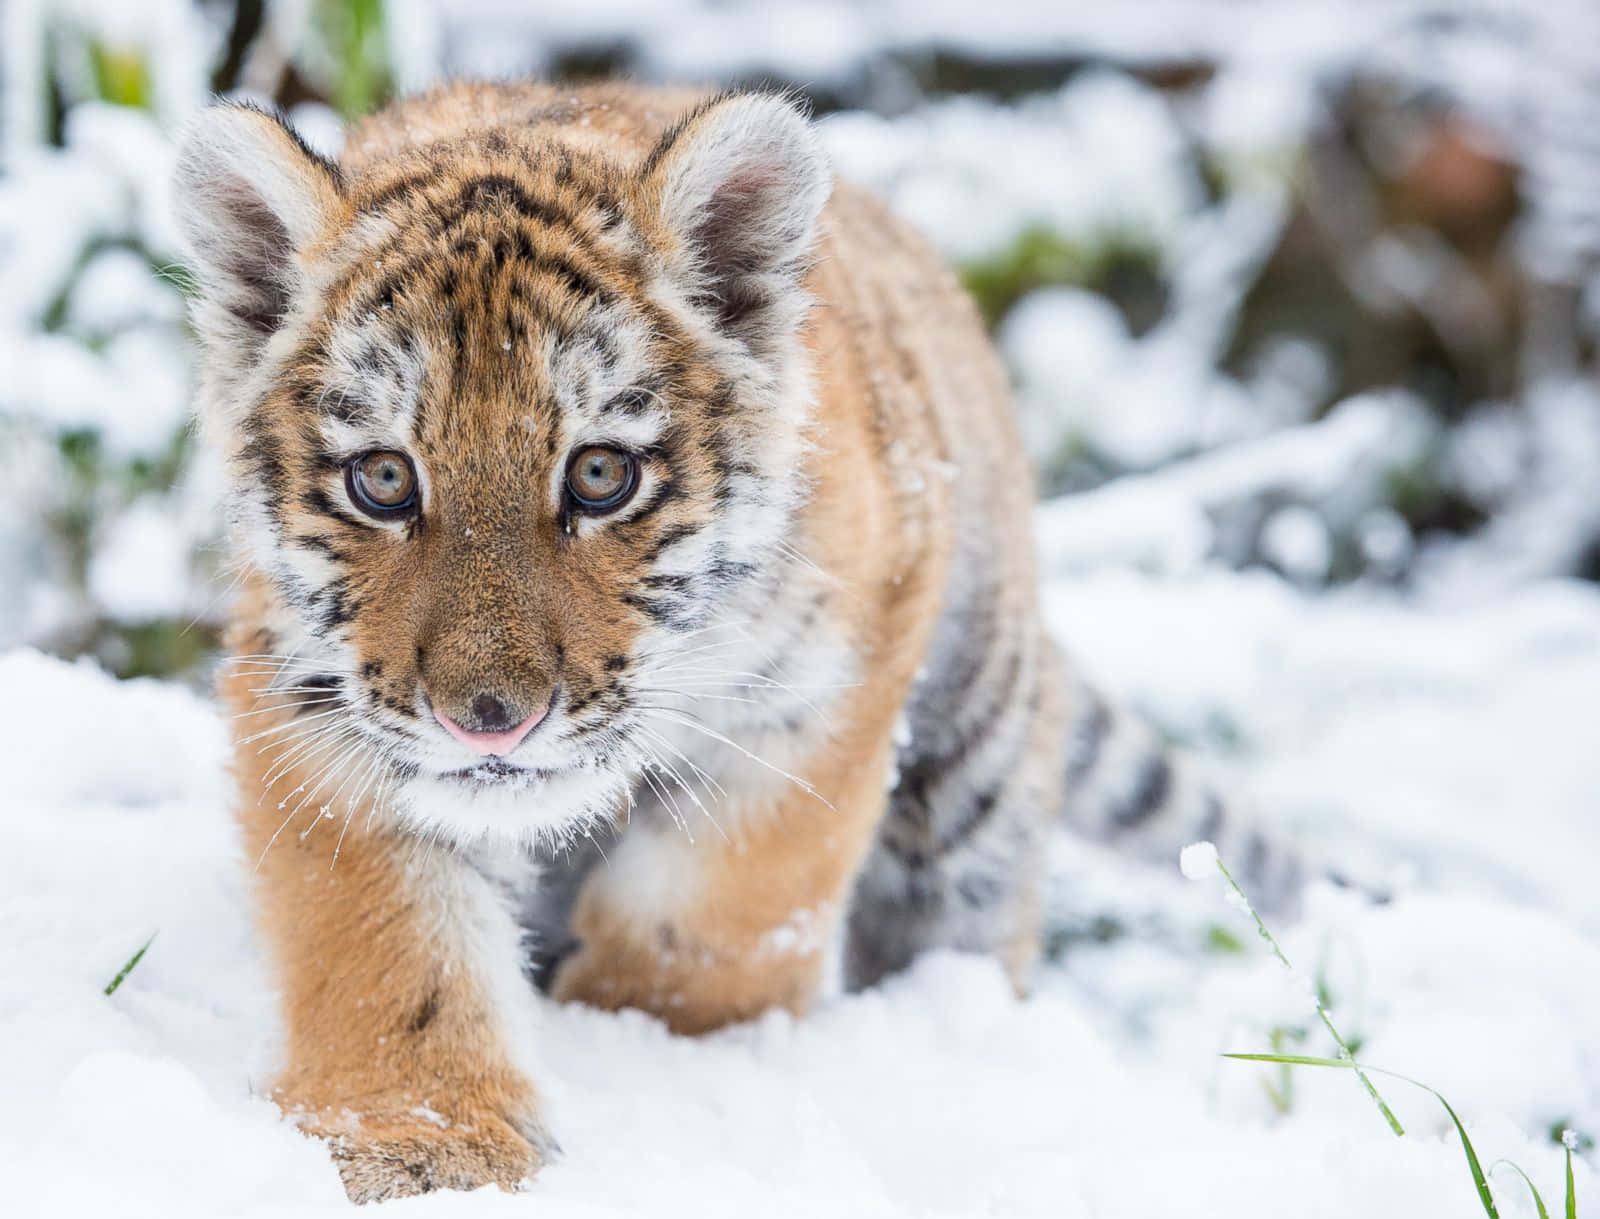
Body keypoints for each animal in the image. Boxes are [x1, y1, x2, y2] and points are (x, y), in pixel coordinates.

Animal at [173, 81, 1299, 1203]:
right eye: (383, 480)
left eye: (600, 476)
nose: (489, 720)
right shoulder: (314, 700)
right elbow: (385, 939)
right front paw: (423, 1143)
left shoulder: (826, 695)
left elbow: (715, 916)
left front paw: (645, 1043)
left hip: (972, 782)